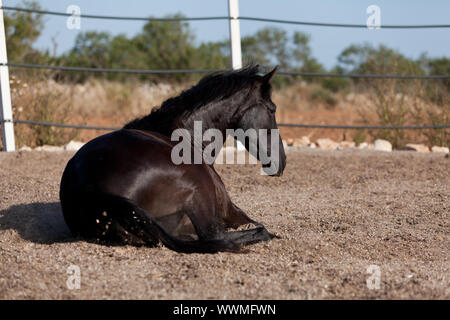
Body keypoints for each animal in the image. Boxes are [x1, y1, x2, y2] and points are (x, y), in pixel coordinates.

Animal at [59, 65, 284, 254]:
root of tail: (88, 187)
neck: (186, 135)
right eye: (272, 108)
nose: (282, 162)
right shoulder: (231, 211)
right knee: (219, 235)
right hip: (198, 188)